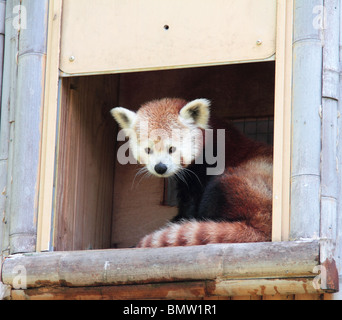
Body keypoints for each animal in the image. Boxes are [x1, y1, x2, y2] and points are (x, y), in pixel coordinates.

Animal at [111, 97, 274, 248]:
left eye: (171, 149)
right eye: (148, 150)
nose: (160, 167)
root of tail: (266, 224)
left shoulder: (206, 168)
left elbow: (191, 203)